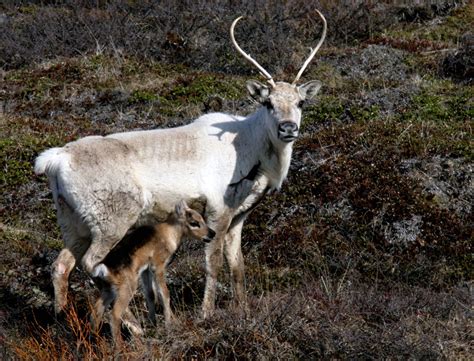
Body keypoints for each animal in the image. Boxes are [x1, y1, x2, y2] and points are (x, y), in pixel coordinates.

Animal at [90, 200, 215, 344]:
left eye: (202, 218)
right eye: (194, 222)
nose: (212, 233)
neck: (169, 233)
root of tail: (102, 268)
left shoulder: (146, 270)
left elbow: (151, 295)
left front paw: (153, 323)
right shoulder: (158, 265)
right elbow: (165, 294)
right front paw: (170, 324)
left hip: (108, 290)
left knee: (95, 312)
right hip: (127, 288)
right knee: (114, 315)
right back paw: (120, 346)